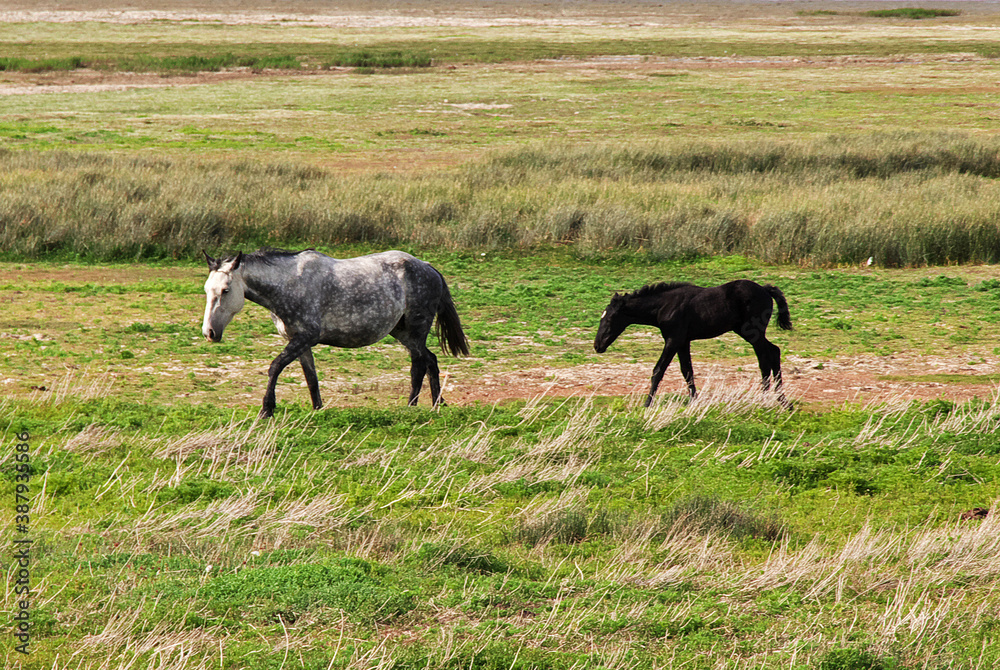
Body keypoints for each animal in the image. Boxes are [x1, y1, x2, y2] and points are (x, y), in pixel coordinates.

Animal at [202, 248, 469, 418]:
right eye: (207, 289)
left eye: (225, 290)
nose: (209, 333)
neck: (290, 285)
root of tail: (428, 267)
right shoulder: (299, 342)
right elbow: (311, 378)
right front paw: (318, 409)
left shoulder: (305, 338)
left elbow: (275, 367)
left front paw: (266, 409)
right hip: (402, 332)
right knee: (430, 360)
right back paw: (435, 403)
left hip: (416, 330)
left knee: (419, 365)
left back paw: (414, 406)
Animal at [594, 280, 792, 407]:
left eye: (610, 319)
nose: (597, 346)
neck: (665, 305)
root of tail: (765, 290)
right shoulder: (683, 342)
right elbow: (687, 370)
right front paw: (694, 401)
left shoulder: (673, 340)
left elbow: (658, 370)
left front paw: (647, 404)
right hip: (747, 332)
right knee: (771, 354)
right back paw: (778, 400)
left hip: (752, 332)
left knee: (768, 355)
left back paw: (770, 399)